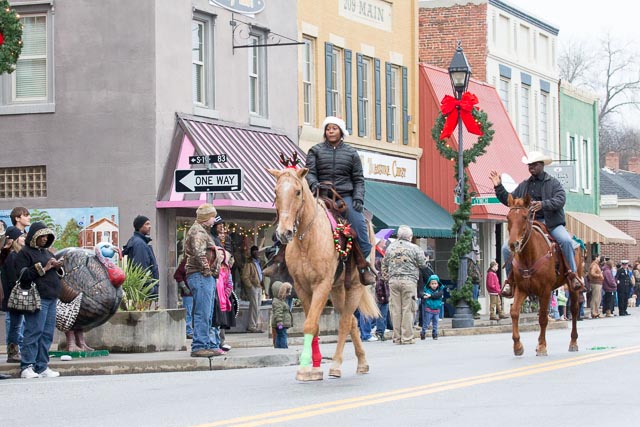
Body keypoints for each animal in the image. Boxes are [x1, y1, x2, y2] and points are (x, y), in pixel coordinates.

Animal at [266, 166, 378, 382]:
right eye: (275, 192)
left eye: (297, 192)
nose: (284, 233)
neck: (306, 239)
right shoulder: (302, 287)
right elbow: (313, 325)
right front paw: (314, 367)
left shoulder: (322, 285)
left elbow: (310, 324)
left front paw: (304, 366)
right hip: (337, 290)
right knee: (352, 321)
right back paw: (362, 362)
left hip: (354, 286)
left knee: (345, 322)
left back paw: (336, 365)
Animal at [504, 196, 584, 356]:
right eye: (508, 217)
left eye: (525, 217)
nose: (513, 244)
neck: (529, 256)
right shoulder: (522, 289)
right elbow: (514, 312)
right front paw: (518, 346)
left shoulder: (546, 290)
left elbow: (542, 317)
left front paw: (541, 346)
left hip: (572, 286)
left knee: (574, 310)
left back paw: (573, 342)